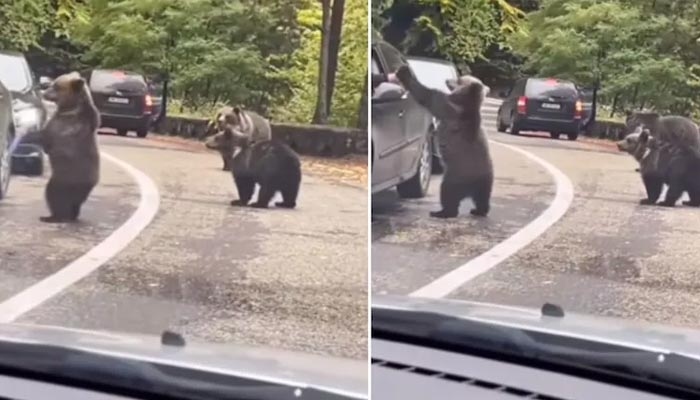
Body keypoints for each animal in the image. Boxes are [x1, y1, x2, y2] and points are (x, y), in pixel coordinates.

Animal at [39, 71, 100, 222]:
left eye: (56, 86)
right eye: (53, 83)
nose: (44, 92)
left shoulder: (60, 128)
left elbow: (47, 139)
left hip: (64, 179)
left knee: (54, 195)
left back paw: (52, 216)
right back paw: (72, 214)